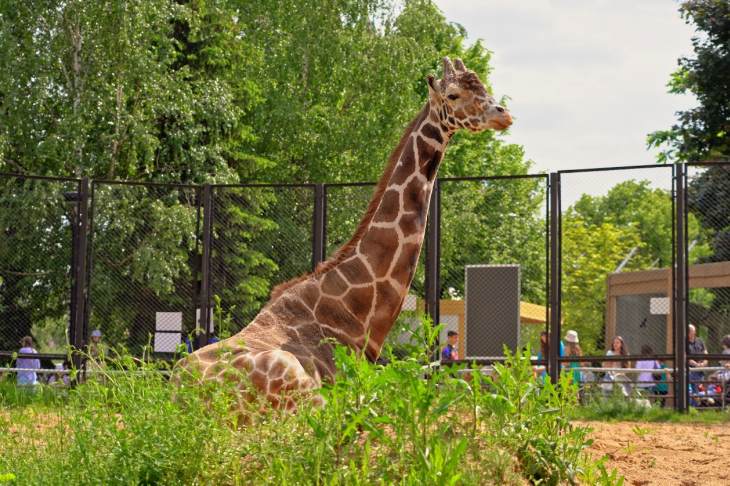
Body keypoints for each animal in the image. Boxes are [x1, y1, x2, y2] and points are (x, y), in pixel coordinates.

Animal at [178, 57, 512, 410]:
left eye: (483, 86)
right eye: (452, 95)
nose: (503, 114)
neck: (354, 313)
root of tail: (179, 394)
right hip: (301, 390)